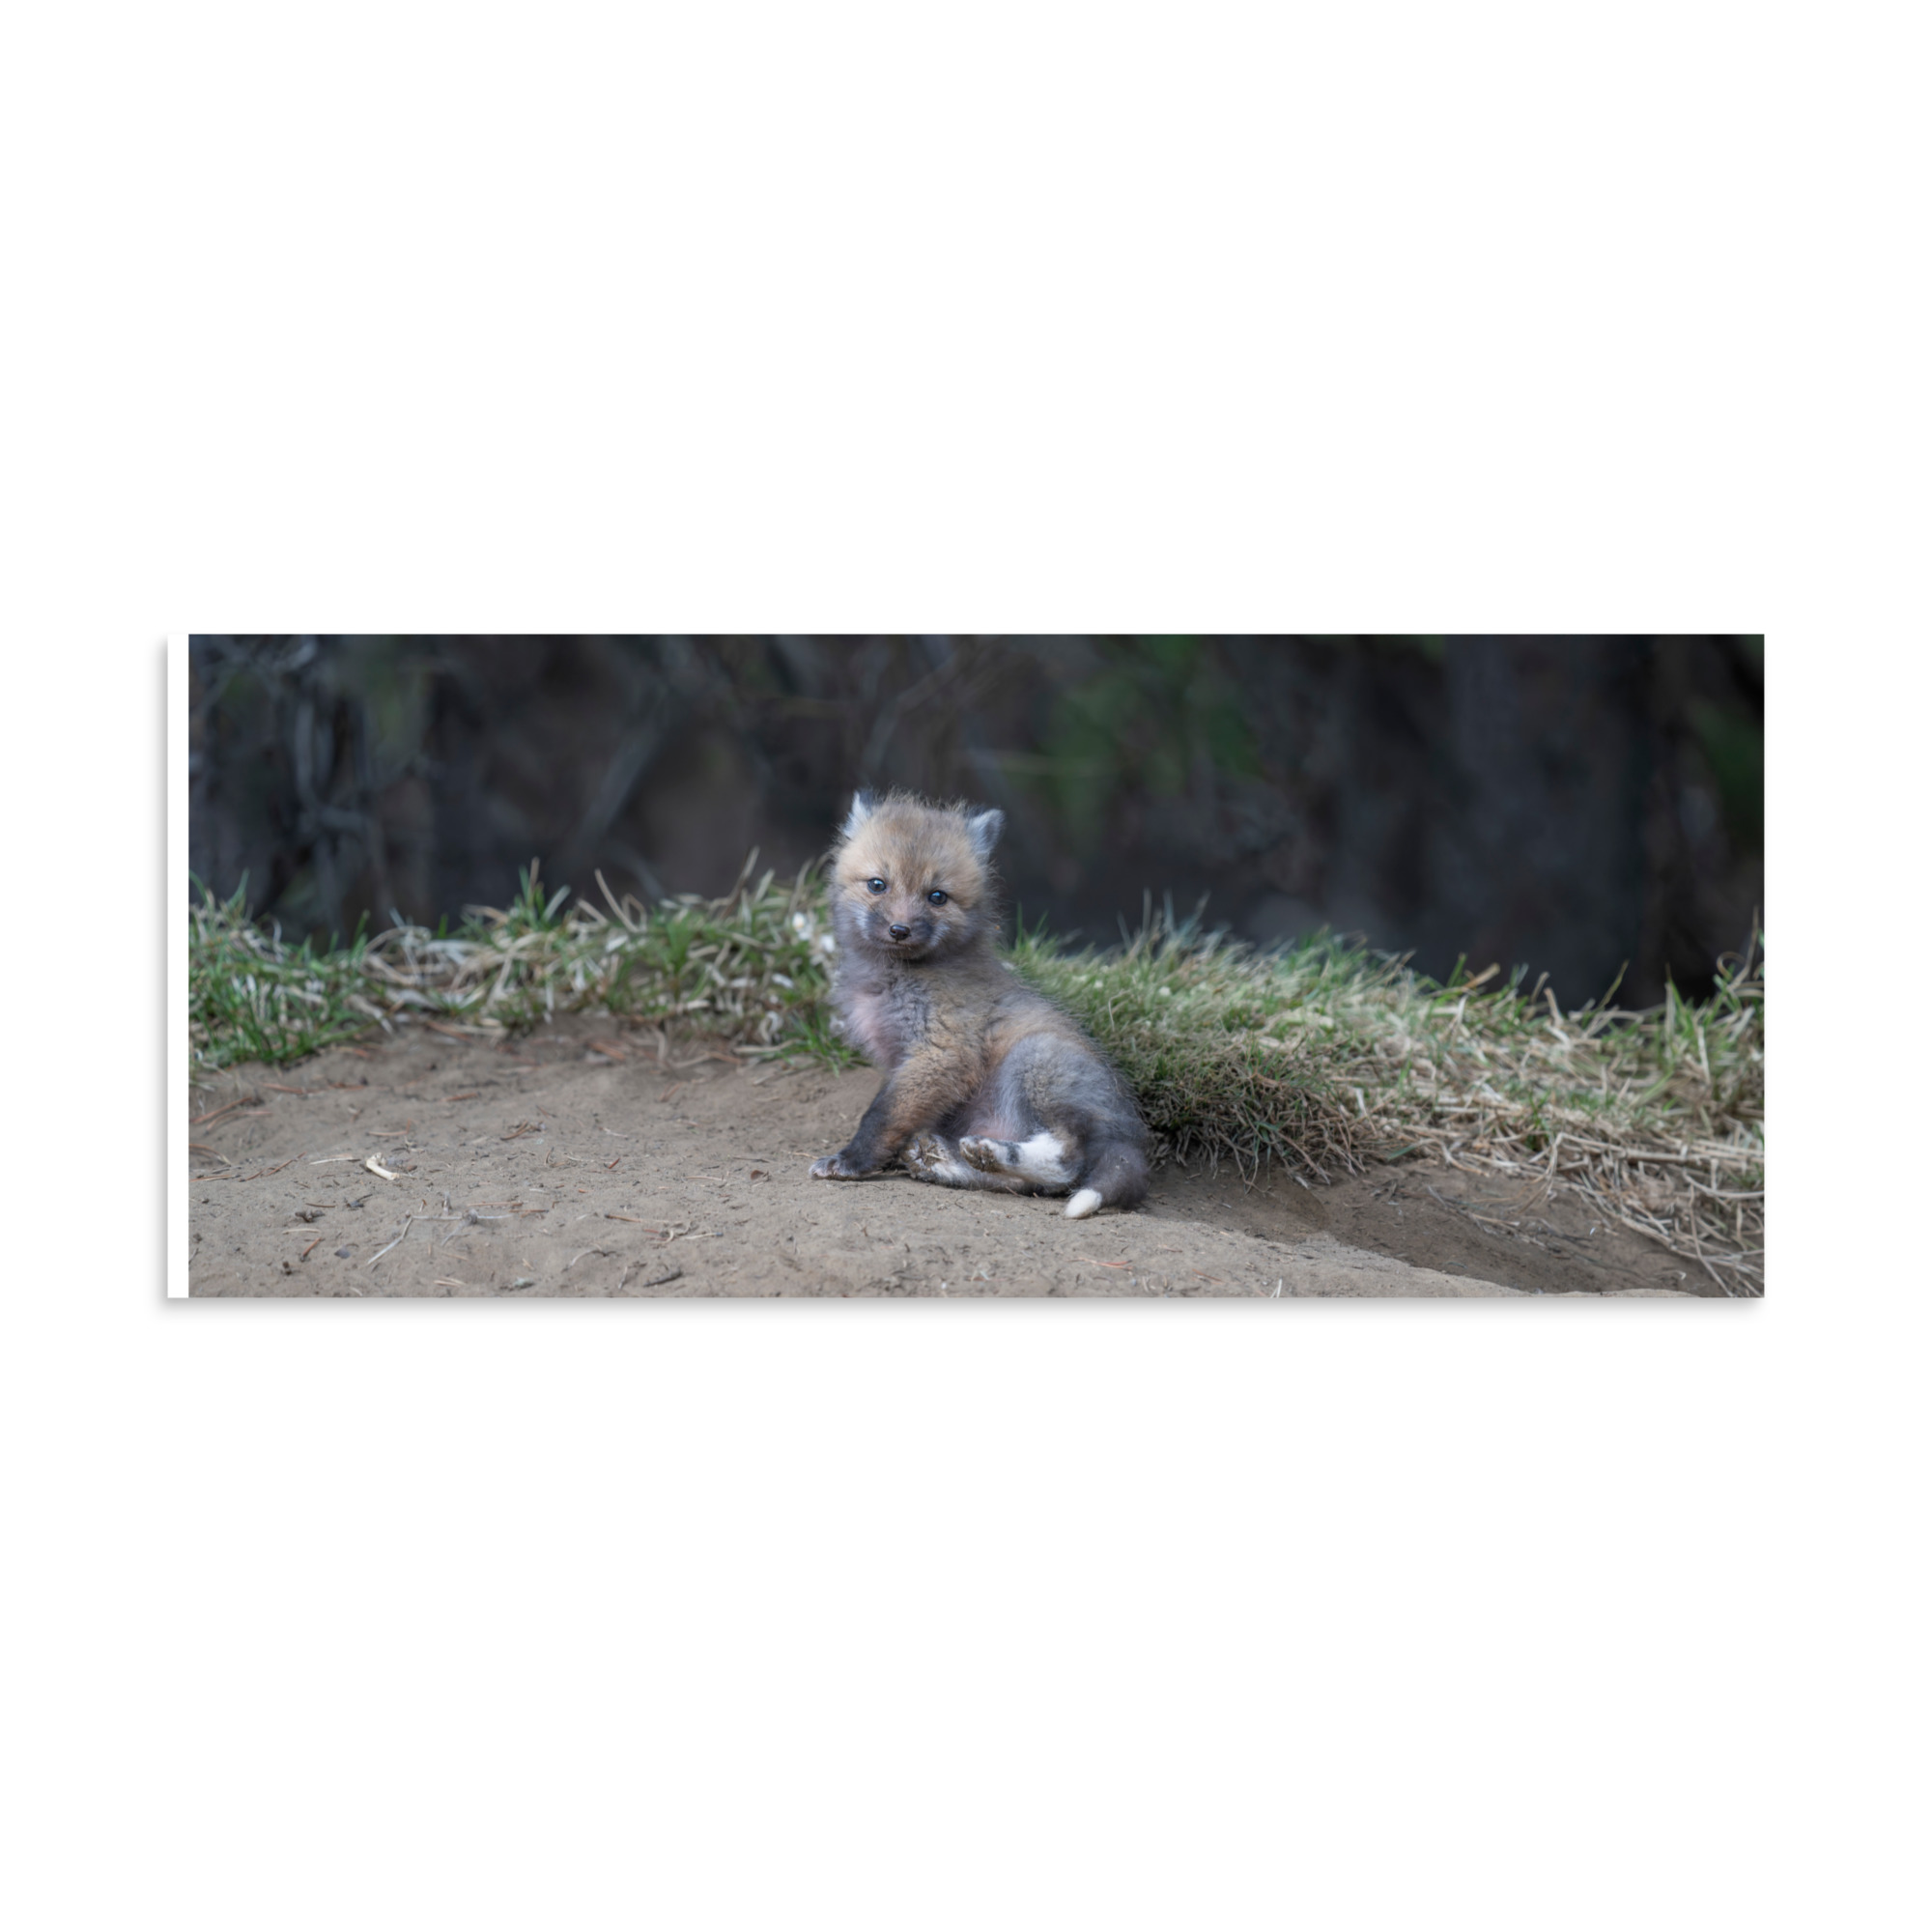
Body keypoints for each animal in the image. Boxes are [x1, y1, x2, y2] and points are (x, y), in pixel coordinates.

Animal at [808, 790, 1149, 1218]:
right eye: (877, 885)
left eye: (937, 896)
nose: (900, 930)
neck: (895, 978)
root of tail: (1130, 1134)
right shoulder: (904, 1060)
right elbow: (895, 1115)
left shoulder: (942, 1051)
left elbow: (881, 1116)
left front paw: (851, 1161)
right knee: (1026, 1185)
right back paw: (948, 1162)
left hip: (1034, 1061)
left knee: (1066, 1162)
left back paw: (990, 1153)